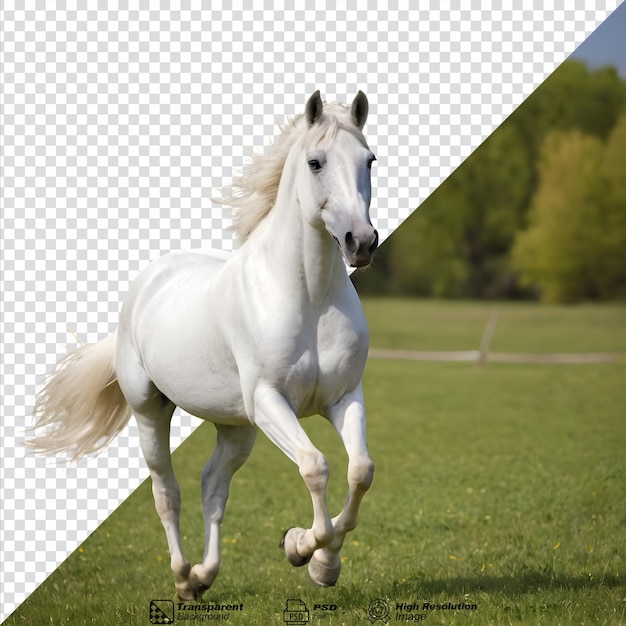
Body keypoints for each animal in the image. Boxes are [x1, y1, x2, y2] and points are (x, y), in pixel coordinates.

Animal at [30, 90, 376, 596]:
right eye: (316, 162)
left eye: (369, 160)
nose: (361, 243)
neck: (308, 298)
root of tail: (145, 283)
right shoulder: (271, 401)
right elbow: (315, 465)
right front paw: (300, 546)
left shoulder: (343, 397)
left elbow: (359, 471)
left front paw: (322, 565)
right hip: (151, 412)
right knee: (166, 492)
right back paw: (182, 577)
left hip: (237, 427)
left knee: (213, 487)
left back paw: (203, 575)